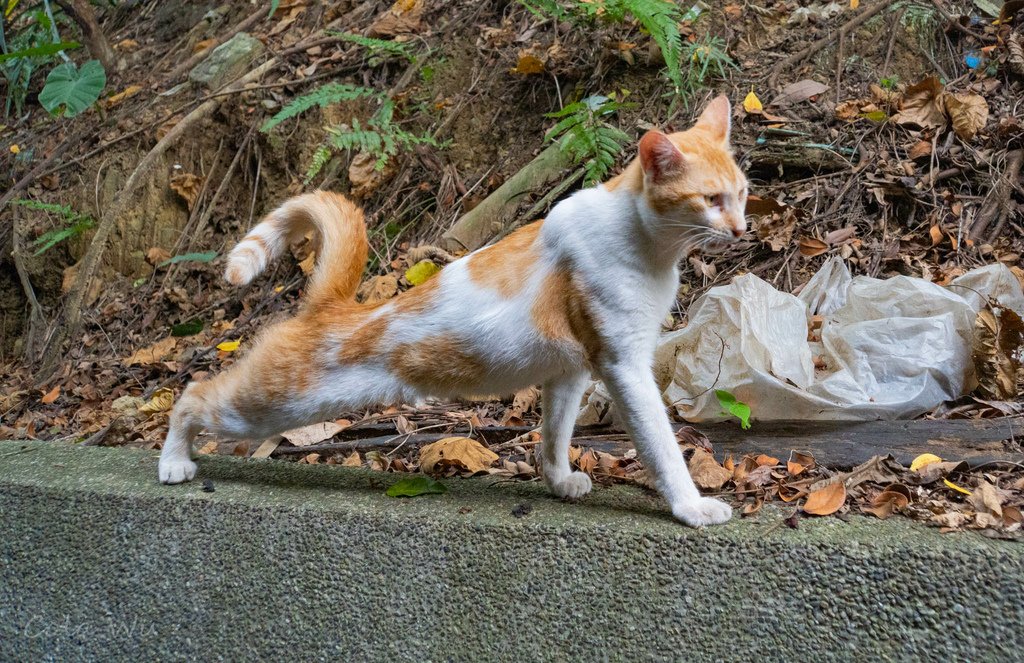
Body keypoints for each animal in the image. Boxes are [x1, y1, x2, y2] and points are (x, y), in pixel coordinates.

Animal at [161, 94, 753, 528]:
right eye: (710, 200)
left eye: (744, 193)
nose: (743, 229)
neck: (648, 245)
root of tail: (329, 306)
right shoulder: (623, 366)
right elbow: (661, 446)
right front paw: (691, 507)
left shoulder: (569, 371)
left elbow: (554, 435)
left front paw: (558, 481)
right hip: (273, 404)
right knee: (193, 395)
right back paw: (172, 462)